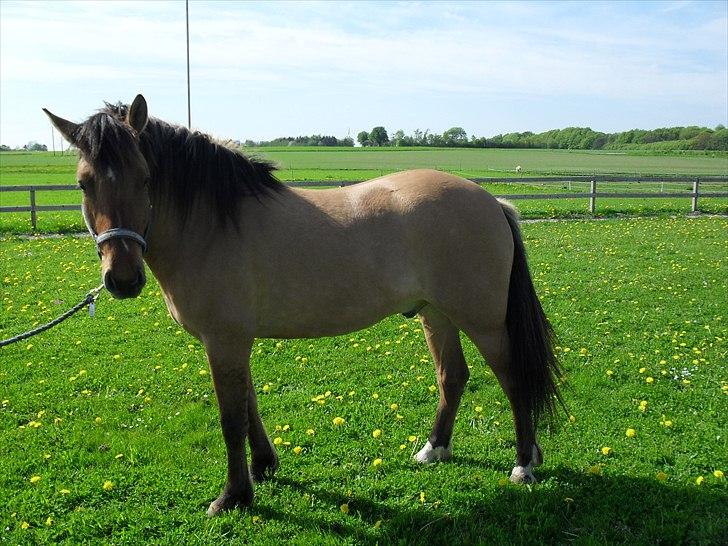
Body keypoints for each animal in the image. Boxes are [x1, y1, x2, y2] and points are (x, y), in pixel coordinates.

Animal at [44, 94, 564, 516]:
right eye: (84, 184)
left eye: (146, 178)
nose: (123, 278)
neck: (212, 224)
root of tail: (492, 202)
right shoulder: (234, 341)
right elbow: (248, 402)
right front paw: (264, 467)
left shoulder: (224, 339)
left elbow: (231, 417)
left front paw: (233, 496)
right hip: (435, 314)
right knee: (452, 376)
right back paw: (434, 449)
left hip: (484, 321)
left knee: (514, 379)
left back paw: (523, 464)